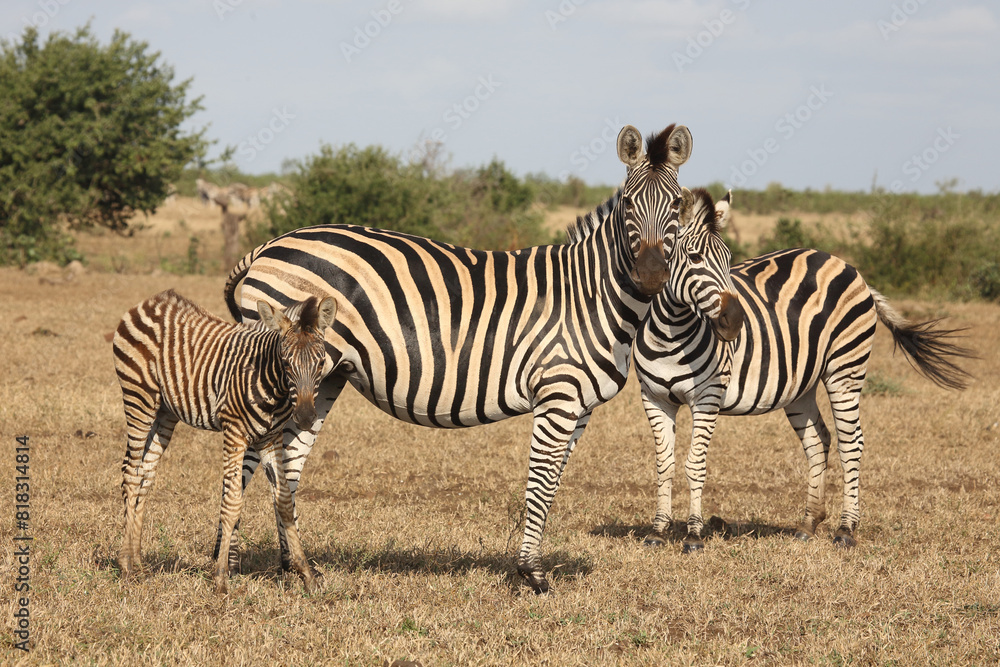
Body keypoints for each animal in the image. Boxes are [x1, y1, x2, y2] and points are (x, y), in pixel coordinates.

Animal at [112, 289, 338, 594]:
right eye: (286, 362)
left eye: (320, 362)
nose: (304, 418)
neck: (270, 381)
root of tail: (149, 303)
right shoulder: (234, 432)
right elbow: (231, 502)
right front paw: (220, 577)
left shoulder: (271, 437)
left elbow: (283, 501)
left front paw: (306, 574)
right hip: (139, 397)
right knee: (131, 473)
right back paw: (125, 565)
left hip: (165, 412)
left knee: (146, 472)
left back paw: (138, 563)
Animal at [217, 124, 694, 594]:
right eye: (629, 204)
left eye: (676, 204)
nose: (651, 276)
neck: (590, 295)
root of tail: (268, 246)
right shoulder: (557, 394)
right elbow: (540, 483)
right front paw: (531, 574)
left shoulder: (579, 407)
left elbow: (553, 483)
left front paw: (529, 567)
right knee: (250, 458)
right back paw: (230, 564)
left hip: (320, 378)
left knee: (285, 463)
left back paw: (295, 567)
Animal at [631, 189, 974, 552]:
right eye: (694, 257)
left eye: (728, 258)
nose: (735, 323)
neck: (670, 331)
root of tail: (847, 266)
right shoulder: (654, 398)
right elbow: (664, 464)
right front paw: (658, 530)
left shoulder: (708, 396)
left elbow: (694, 464)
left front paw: (694, 534)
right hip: (800, 385)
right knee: (817, 439)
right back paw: (808, 523)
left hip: (845, 370)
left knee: (851, 442)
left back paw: (846, 528)